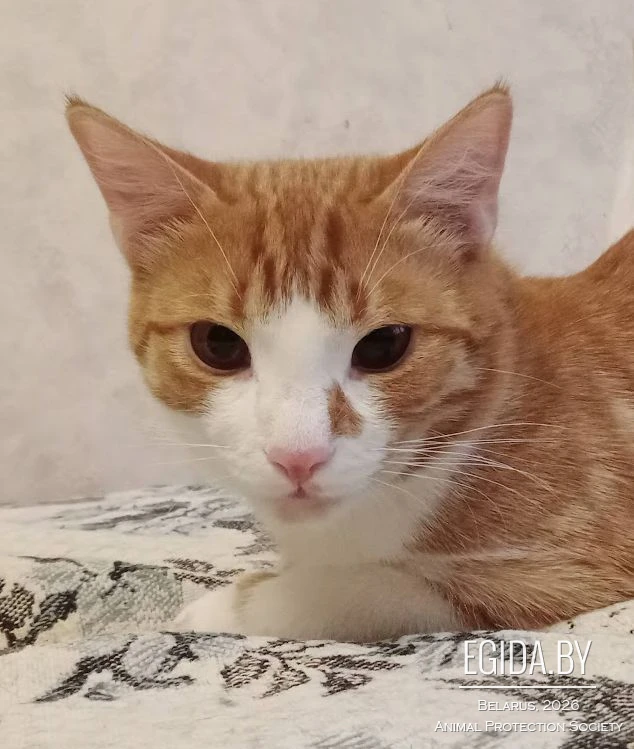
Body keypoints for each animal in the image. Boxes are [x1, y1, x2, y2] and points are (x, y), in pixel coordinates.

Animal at [66, 84, 634, 642]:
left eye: (384, 346)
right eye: (218, 345)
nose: (298, 458)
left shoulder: (569, 571)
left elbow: (365, 590)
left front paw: (232, 604)